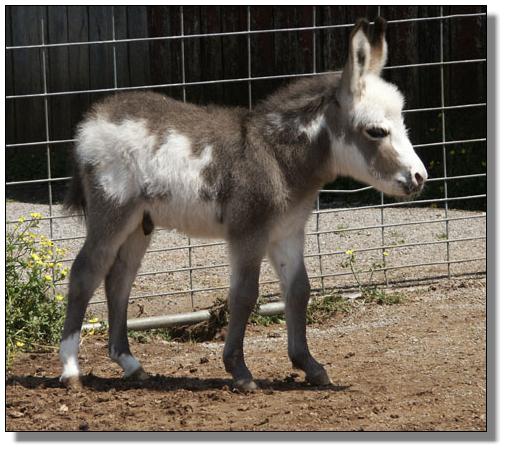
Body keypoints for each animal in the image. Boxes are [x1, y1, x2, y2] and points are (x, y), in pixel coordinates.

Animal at [59, 17, 427, 391]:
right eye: (376, 131)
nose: (419, 178)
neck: (278, 155)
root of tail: (94, 119)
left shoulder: (287, 233)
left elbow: (298, 291)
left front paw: (309, 366)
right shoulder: (249, 232)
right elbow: (244, 294)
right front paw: (239, 370)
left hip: (140, 223)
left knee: (119, 279)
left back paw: (131, 364)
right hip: (112, 211)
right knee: (86, 272)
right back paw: (71, 370)